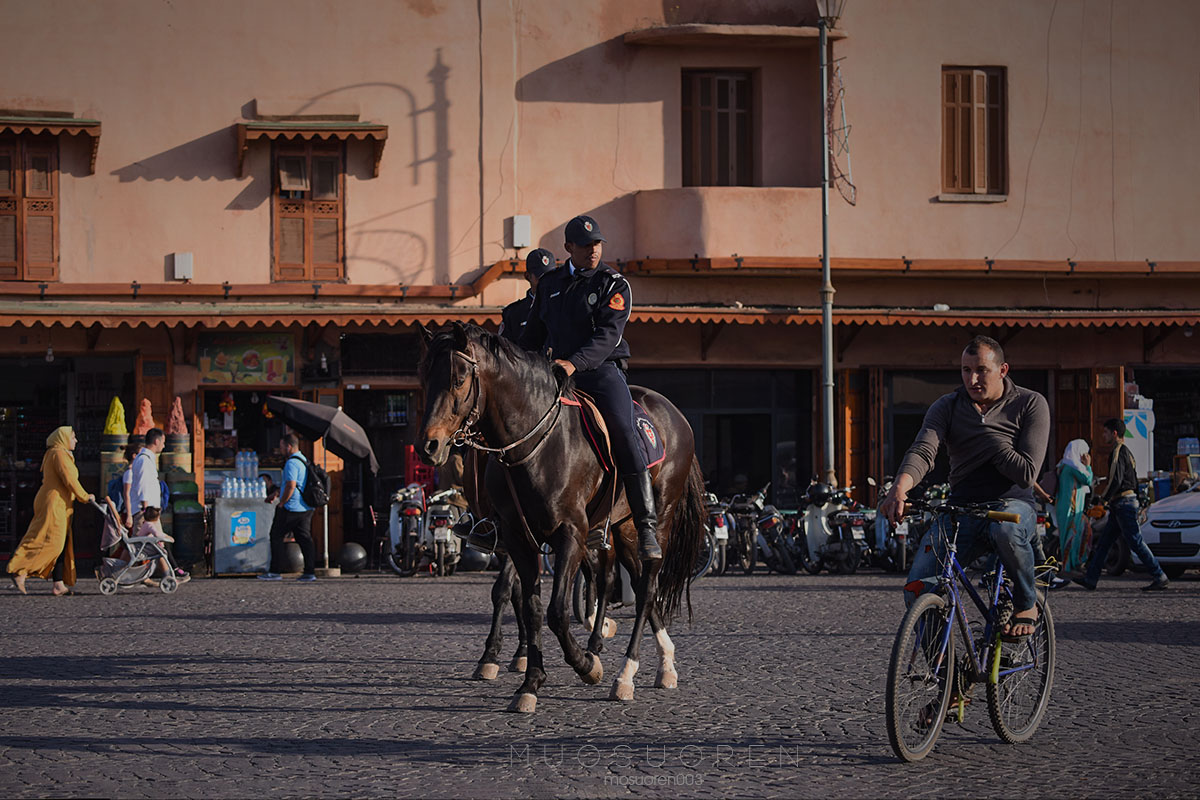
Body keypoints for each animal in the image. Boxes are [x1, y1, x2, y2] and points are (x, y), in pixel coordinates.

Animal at [420, 323, 705, 714]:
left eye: (459, 378)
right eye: (425, 377)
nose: (430, 446)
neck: (535, 444)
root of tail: (675, 414)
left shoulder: (570, 534)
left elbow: (556, 610)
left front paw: (586, 665)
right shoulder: (516, 538)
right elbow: (529, 605)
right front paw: (529, 681)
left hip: (658, 519)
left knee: (645, 586)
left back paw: (624, 674)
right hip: (623, 528)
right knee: (631, 581)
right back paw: (664, 663)